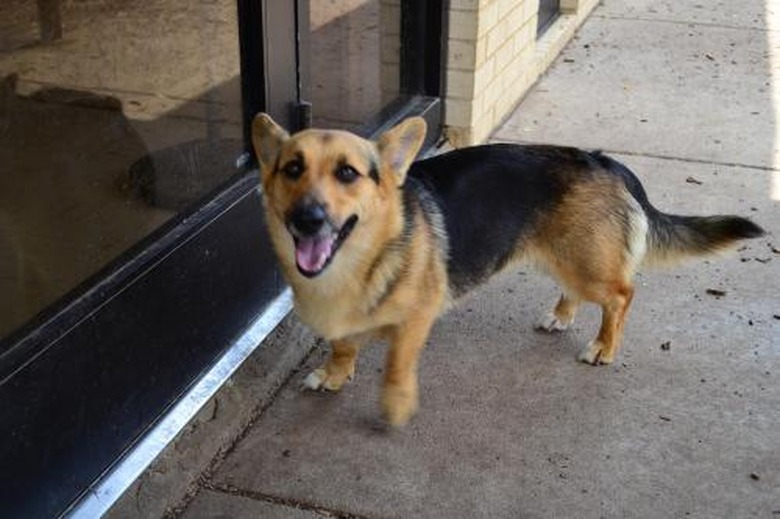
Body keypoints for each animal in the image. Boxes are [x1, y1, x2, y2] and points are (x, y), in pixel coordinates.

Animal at [253, 114, 764, 426]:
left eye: (348, 173)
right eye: (292, 168)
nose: (307, 219)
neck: (357, 260)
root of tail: (603, 160)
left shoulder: (417, 319)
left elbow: (397, 365)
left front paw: (395, 404)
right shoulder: (342, 326)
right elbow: (342, 348)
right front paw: (335, 375)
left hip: (586, 266)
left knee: (621, 296)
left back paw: (603, 346)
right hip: (563, 256)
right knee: (578, 292)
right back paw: (561, 316)